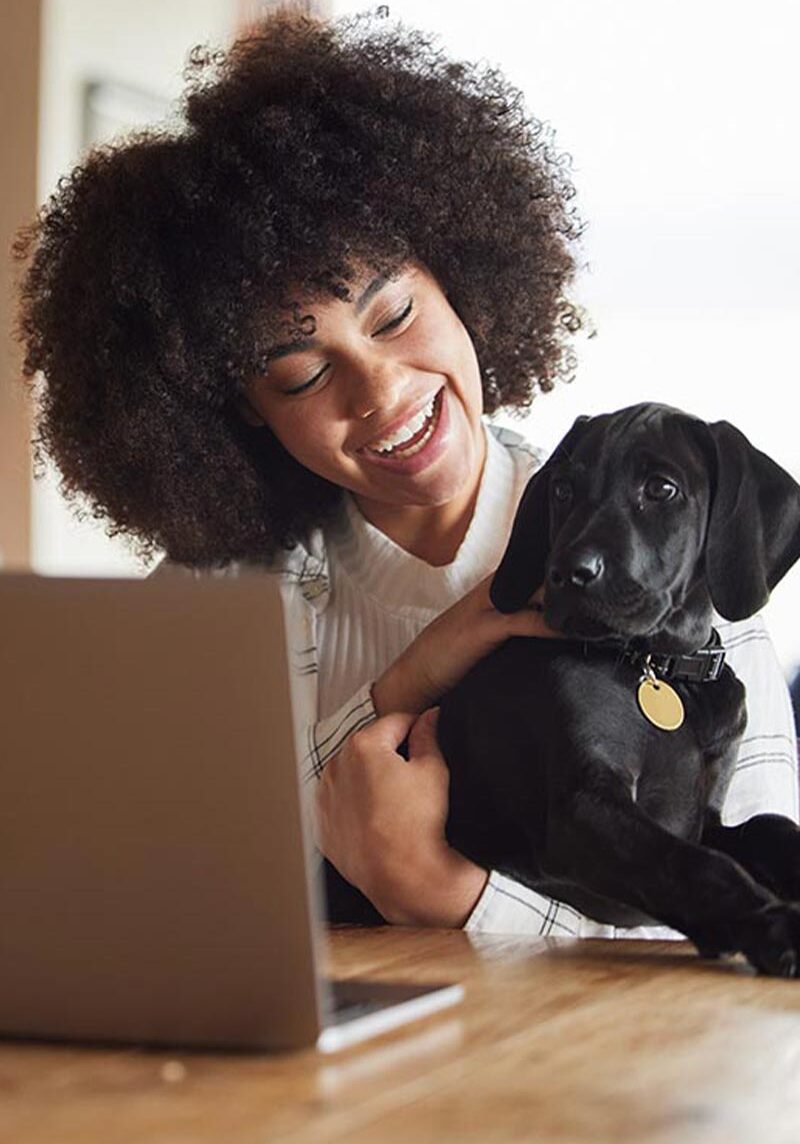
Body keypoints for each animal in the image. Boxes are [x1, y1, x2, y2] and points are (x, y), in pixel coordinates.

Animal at [437, 402, 800, 974]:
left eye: (661, 489)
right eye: (563, 489)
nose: (567, 572)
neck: (661, 669)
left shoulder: (706, 817)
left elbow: (770, 828)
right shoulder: (583, 804)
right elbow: (692, 863)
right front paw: (771, 923)